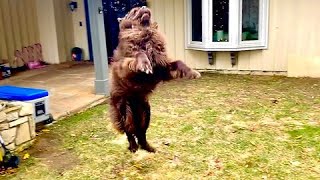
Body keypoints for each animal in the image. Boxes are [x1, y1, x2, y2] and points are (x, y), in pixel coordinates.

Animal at [109, 7, 201, 153]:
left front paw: (193, 72)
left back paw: (149, 148)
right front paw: (145, 64)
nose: (144, 7)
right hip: (124, 112)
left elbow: (179, 62)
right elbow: (139, 54)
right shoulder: (125, 66)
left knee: (141, 134)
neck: (145, 32)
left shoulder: (162, 68)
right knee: (129, 132)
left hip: (146, 113)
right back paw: (133, 147)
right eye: (134, 10)